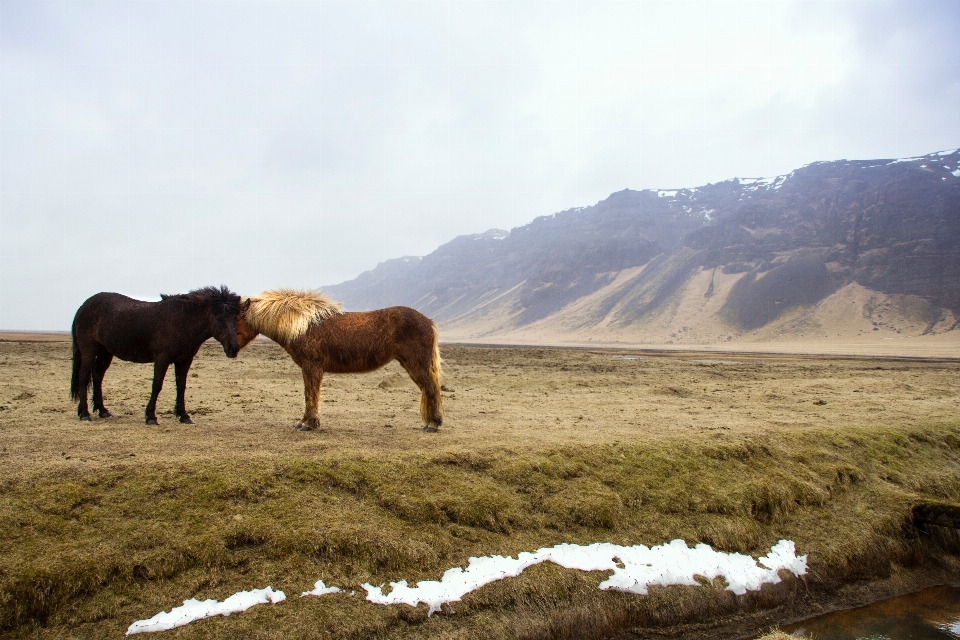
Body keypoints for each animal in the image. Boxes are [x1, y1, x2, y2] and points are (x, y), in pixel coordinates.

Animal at [71, 286, 242, 424]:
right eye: (219, 318)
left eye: (235, 318)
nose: (233, 349)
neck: (183, 321)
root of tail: (83, 307)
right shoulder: (162, 359)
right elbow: (157, 385)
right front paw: (151, 417)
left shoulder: (184, 361)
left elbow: (181, 387)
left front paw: (184, 416)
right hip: (89, 350)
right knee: (84, 376)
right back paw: (85, 414)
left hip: (105, 352)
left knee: (97, 376)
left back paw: (103, 411)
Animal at [236, 292, 442, 436]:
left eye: (236, 319)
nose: (231, 349)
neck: (304, 325)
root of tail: (428, 321)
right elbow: (309, 394)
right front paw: (303, 422)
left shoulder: (312, 367)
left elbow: (310, 394)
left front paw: (308, 424)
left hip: (417, 364)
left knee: (430, 388)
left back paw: (433, 425)